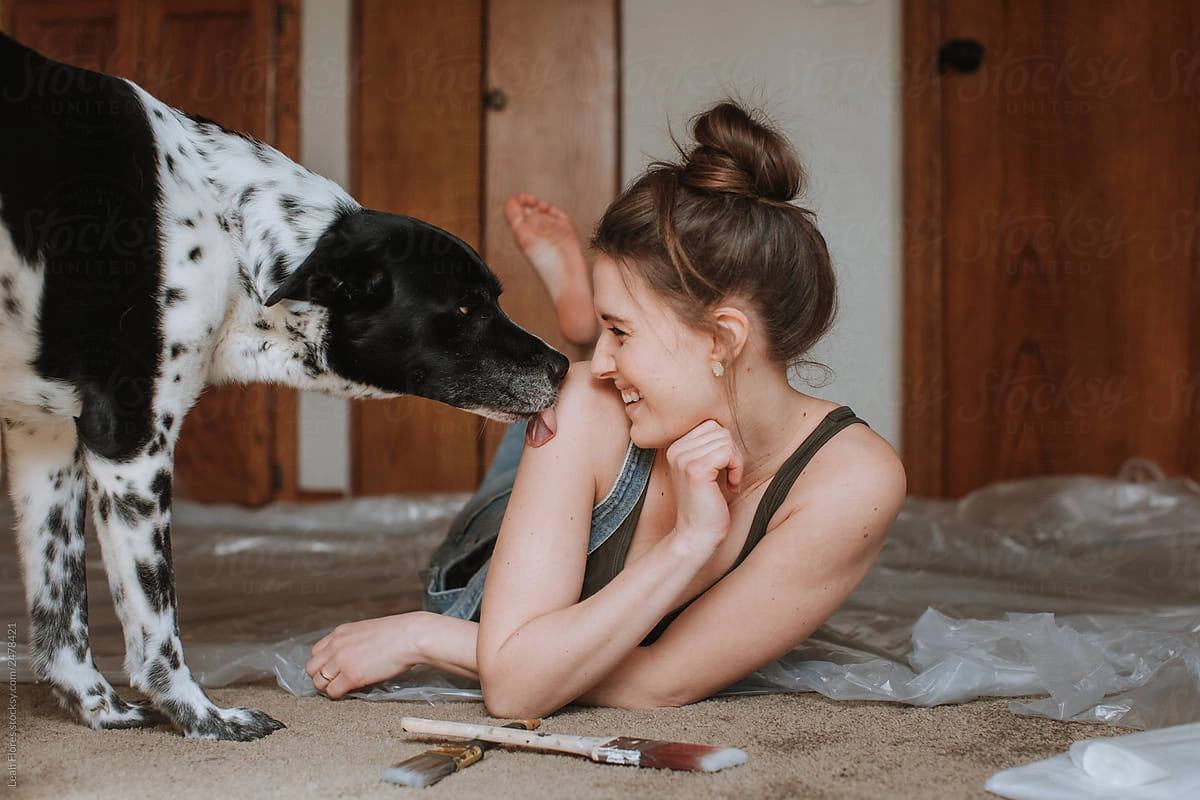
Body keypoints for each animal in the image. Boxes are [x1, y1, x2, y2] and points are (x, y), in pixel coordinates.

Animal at [0, 34, 566, 743]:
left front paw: (98, 710)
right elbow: (156, 622)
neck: (229, 234)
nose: (562, 366)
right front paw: (204, 718)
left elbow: (61, 609)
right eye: (466, 307)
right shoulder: (129, 439)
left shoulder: (44, 440)